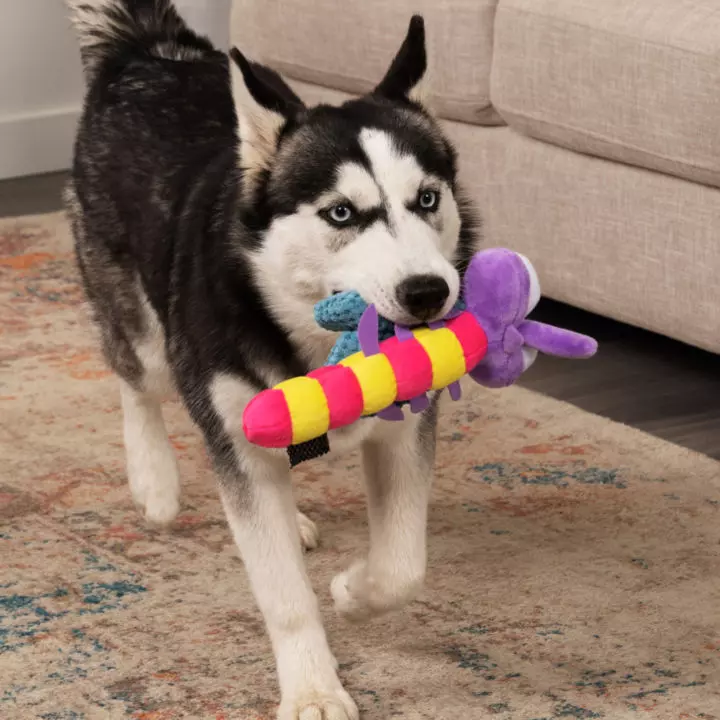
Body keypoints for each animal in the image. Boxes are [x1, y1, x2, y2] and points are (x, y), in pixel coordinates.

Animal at [67, 1, 478, 716]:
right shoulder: (238, 438)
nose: (427, 292)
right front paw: (313, 687)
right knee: (136, 378)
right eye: (340, 213)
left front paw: (354, 592)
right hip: (140, 322)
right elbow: (284, 595)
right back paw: (155, 481)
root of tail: (153, 51)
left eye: (427, 198)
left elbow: (403, 567)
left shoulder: (404, 428)